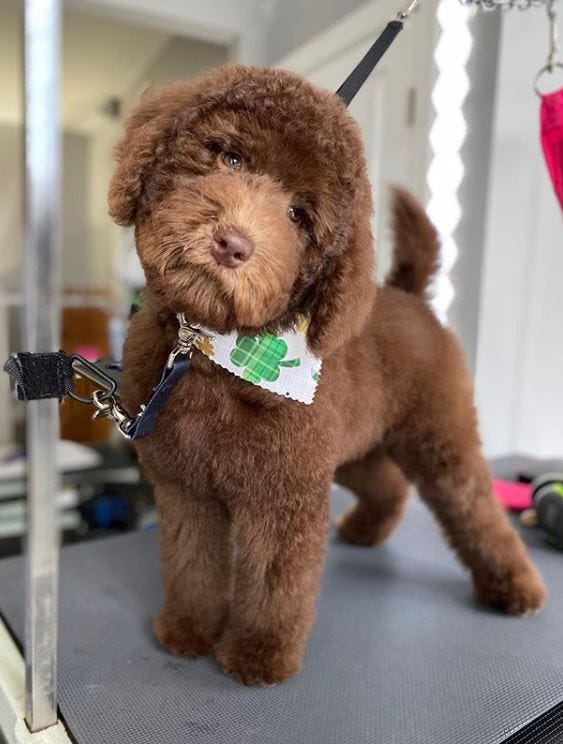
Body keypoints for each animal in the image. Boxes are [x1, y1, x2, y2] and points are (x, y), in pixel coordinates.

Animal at [109, 64, 548, 684]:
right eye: (230, 158)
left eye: (299, 215)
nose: (233, 243)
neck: (212, 349)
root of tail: (409, 295)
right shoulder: (186, 487)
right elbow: (192, 561)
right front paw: (188, 628)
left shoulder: (283, 497)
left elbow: (274, 580)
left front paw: (259, 653)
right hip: (353, 445)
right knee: (388, 483)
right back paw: (367, 529)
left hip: (439, 436)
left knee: (474, 507)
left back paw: (515, 585)